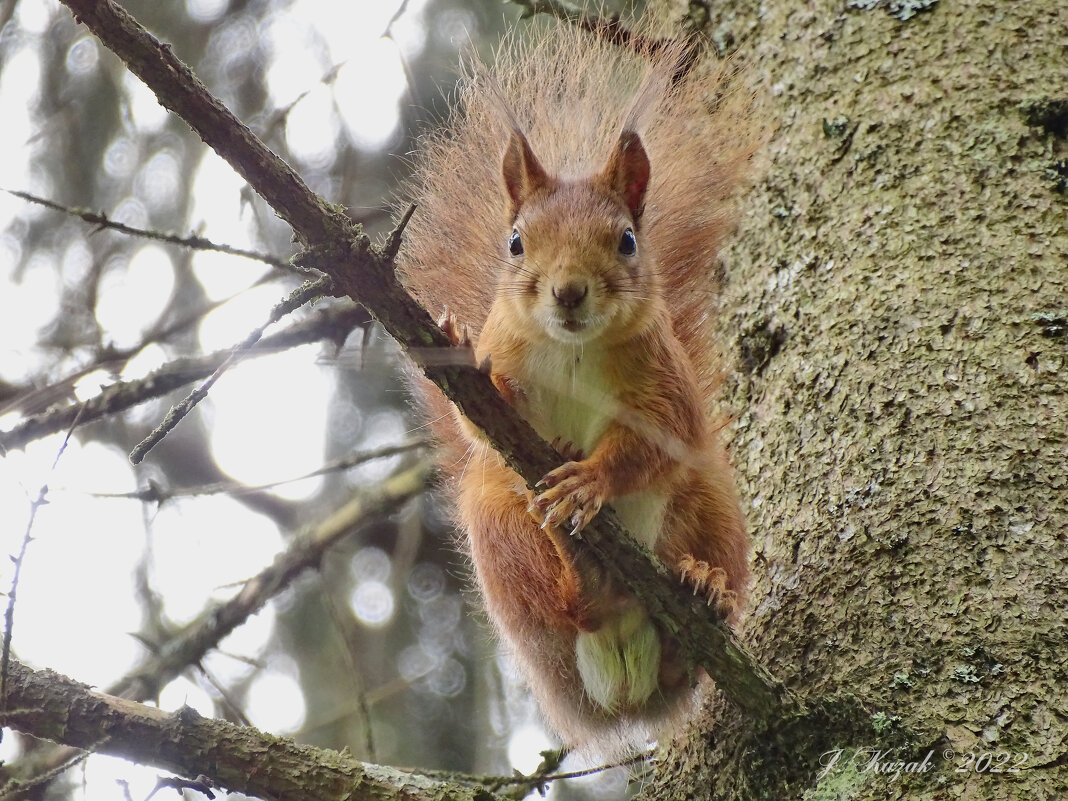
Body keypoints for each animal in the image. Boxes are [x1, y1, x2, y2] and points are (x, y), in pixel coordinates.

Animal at [399, 23, 760, 751]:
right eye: (515, 242)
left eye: (626, 240)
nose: (568, 292)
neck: (572, 349)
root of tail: (619, 688)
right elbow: (479, 421)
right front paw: (468, 363)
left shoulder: (664, 385)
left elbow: (656, 439)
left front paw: (592, 478)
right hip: (500, 532)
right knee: (565, 606)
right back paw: (589, 581)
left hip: (709, 501)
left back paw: (702, 585)